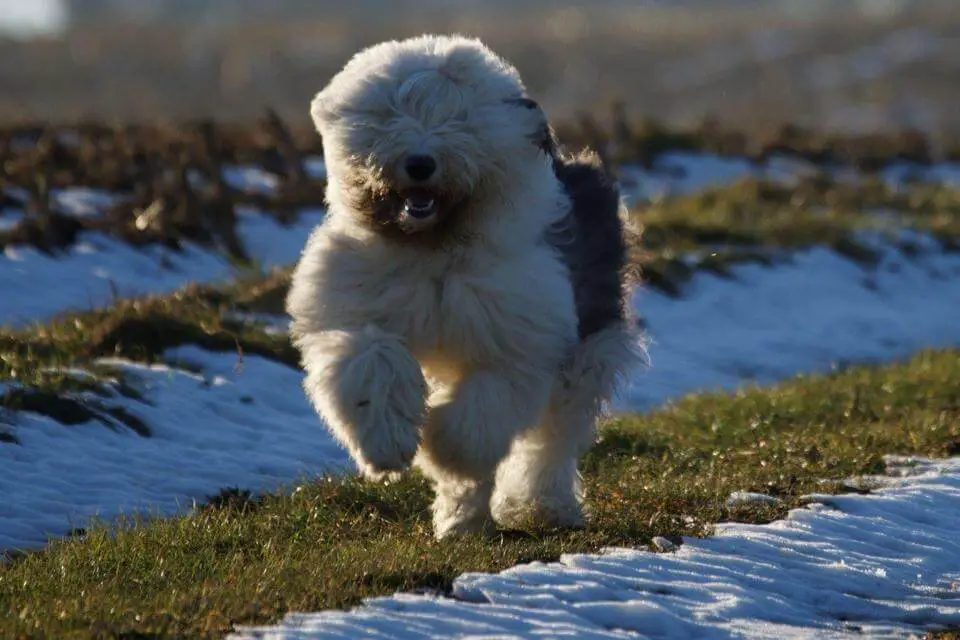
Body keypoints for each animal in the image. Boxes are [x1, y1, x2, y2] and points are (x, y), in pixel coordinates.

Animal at [284, 32, 644, 536]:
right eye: (391, 112)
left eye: (459, 118)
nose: (420, 163)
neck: (434, 247)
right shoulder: (355, 308)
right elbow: (370, 358)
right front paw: (387, 444)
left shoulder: (515, 341)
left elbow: (478, 418)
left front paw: (443, 446)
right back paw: (462, 522)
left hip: (589, 342)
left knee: (552, 437)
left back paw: (543, 506)